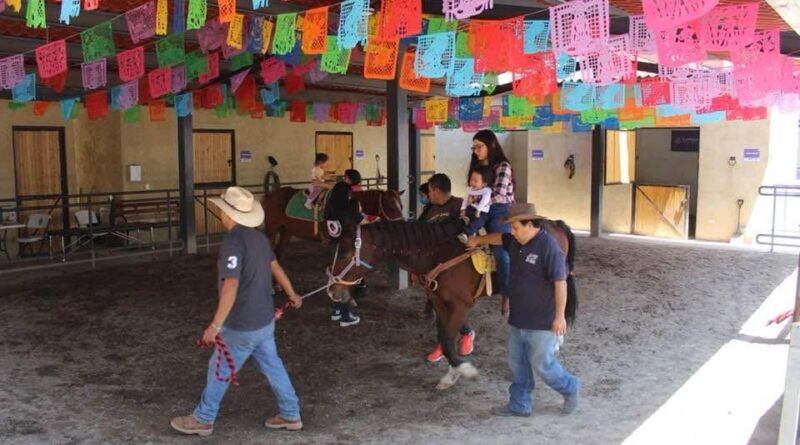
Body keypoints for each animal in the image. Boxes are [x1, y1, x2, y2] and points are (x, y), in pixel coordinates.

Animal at [261, 187, 405, 260]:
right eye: (391, 207)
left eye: (401, 206)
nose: (402, 225)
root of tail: (269, 195)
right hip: (272, 230)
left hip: (286, 231)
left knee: (278, 252)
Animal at [324, 218, 578, 390]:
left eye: (345, 253)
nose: (332, 291)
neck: (440, 252)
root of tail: (555, 224)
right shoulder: (439, 302)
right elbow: (444, 335)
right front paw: (451, 373)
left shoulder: (462, 305)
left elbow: (448, 340)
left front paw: (465, 370)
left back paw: (556, 341)